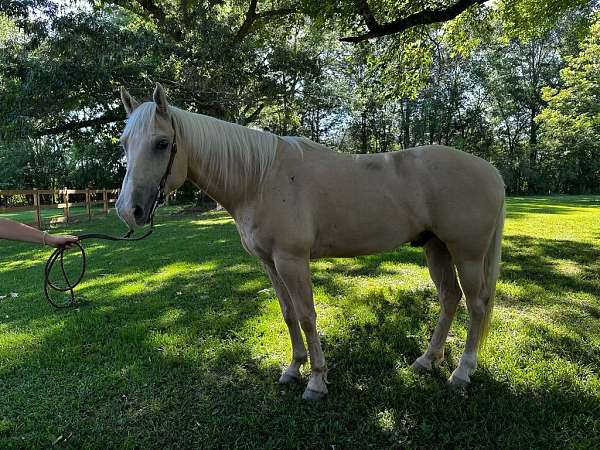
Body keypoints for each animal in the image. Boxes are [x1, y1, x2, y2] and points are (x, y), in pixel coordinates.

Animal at [115, 84, 504, 400]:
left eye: (162, 143)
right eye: (124, 143)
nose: (129, 211)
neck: (260, 179)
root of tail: (491, 171)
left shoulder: (292, 260)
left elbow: (306, 315)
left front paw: (316, 381)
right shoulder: (270, 263)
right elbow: (288, 314)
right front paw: (293, 369)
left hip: (467, 254)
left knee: (476, 304)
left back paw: (462, 372)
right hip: (435, 247)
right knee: (450, 298)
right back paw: (427, 360)